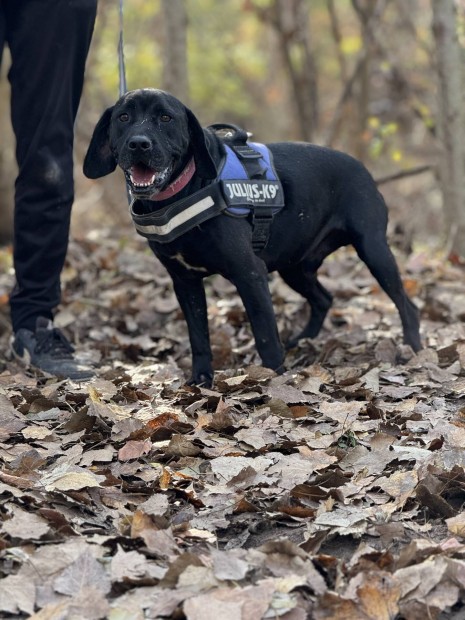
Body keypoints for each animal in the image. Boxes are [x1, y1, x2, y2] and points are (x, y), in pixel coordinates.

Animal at [83, 89, 420, 386]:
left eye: (165, 117)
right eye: (124, 117)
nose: (139, 144)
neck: (184, 189)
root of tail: (363, 169)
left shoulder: (250, 274)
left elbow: (265, 336)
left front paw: (273, 380)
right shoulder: (185, 282)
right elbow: (199, 338)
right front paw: (201, 380)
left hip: (373, 251)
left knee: (407, 306)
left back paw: (412, 350)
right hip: (294, 267)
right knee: (324, 298)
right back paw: (303, 341)